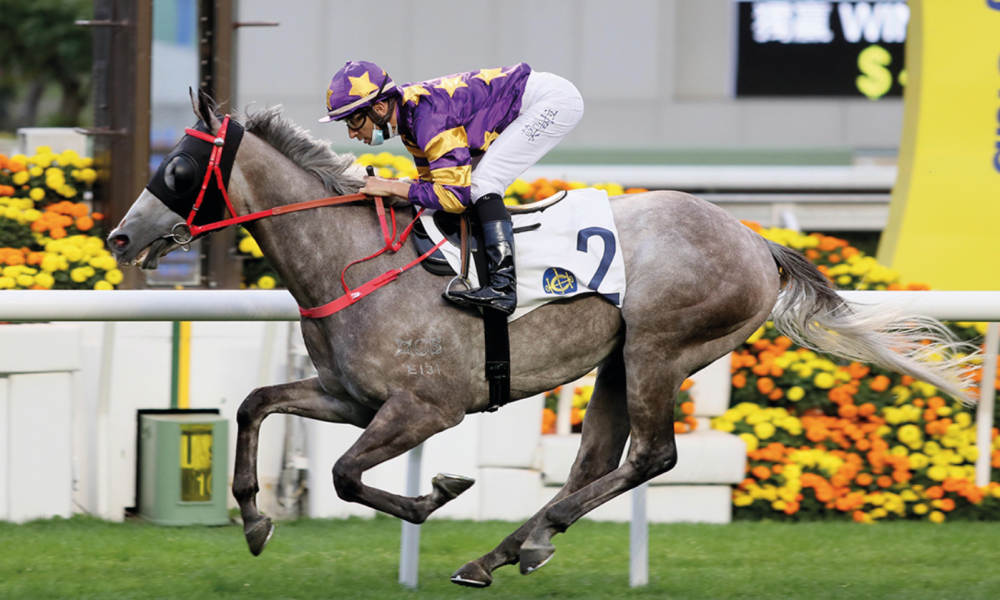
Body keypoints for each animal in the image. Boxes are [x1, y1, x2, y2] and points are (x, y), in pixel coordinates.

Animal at [107, 91, 970, 587]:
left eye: (178, 167)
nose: (120, 237)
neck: (358, 261)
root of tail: (756, 239)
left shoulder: (426, 409)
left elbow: (350, 477)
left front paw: (436, 493)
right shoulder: (349, 398)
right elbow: (256, 404)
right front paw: (254, 518)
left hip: (660, 350)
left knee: (652, 457)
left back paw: (527, 541)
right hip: (620, 362)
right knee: (596, 462)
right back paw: (506, 550)